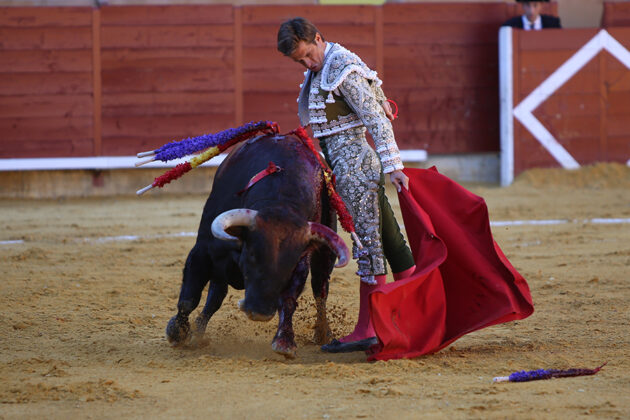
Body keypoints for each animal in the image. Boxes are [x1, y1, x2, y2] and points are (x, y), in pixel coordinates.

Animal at [164, 133, 350, 356]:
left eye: (290, 265)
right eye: (252, 254)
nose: (259, 312)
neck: (280, 200)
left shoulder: (301, 262)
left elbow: (289, 298)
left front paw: (284, 341)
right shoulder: (203, 250)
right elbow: (190, 296)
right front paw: (177, 332)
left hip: (325, 254)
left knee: (320, 288)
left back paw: (323, 334)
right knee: (215, 295)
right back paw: (197, 333)